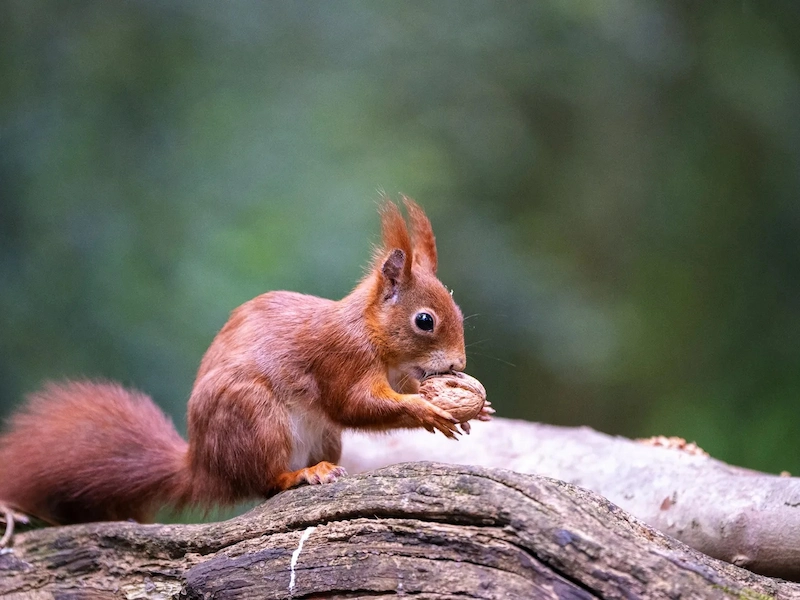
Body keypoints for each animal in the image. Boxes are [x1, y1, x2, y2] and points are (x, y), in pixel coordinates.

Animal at [0, 198, 470, 526]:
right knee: (265, 482)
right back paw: (302, 476)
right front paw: (427, 410)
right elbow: (353, 404)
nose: (459, 363)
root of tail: (205, 467)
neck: (372, 332)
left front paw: (468, 407)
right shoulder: (342, 358)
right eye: (424, 321)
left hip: (324, 437)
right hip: (255, 418)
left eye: (458, 310)